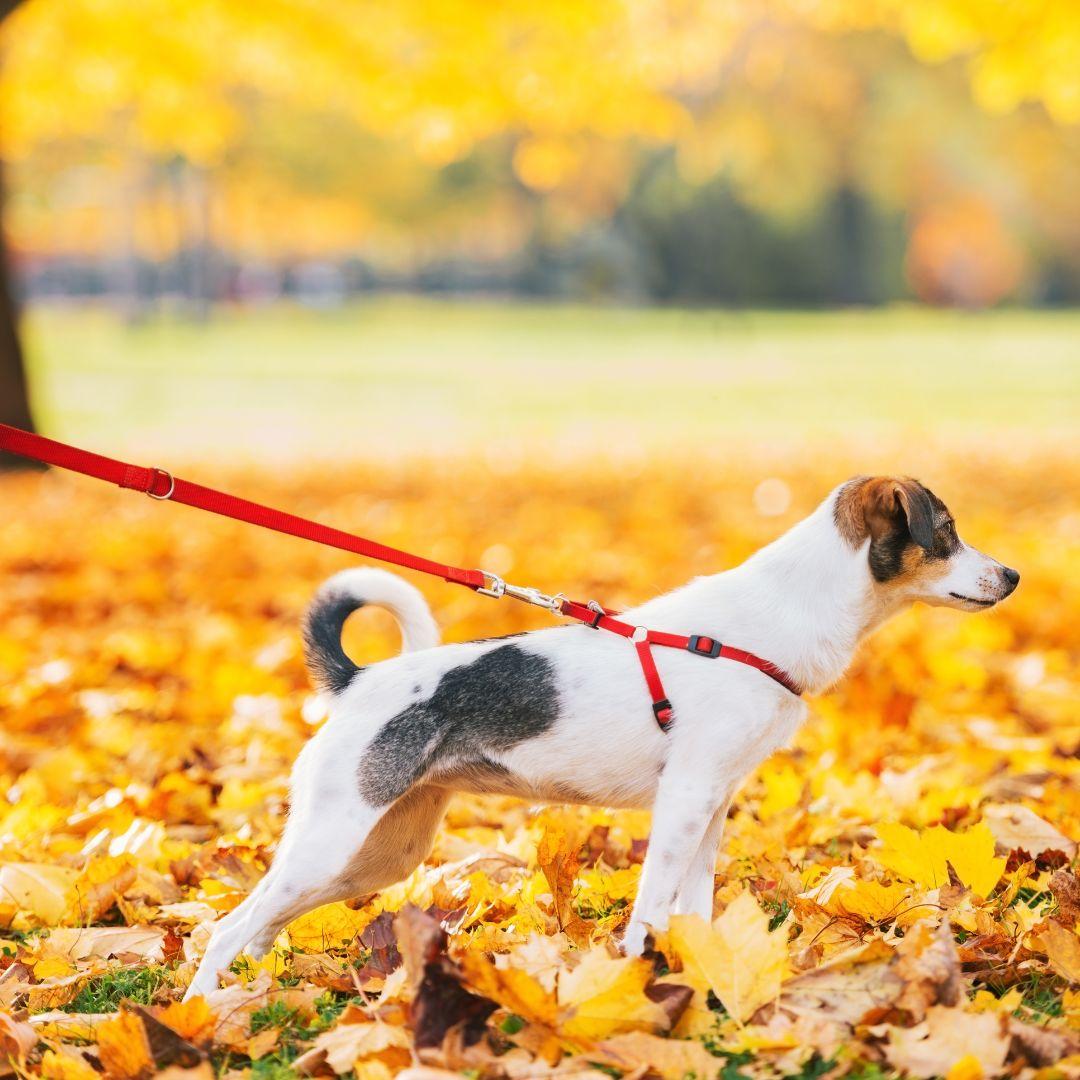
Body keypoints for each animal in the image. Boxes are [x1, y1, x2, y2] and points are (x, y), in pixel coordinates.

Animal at [181, 477, 1015, 997]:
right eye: (946, 533)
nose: (1010, 576)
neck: (773, 618)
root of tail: (357, 683)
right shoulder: (683, 802)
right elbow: (650, 909)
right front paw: (638, 981)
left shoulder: (710, 806)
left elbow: (694, 907)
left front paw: (699, 977)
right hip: (334, 841)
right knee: (227, 927)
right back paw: (203, 1014)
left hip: (380, 855)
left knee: (261, 923)